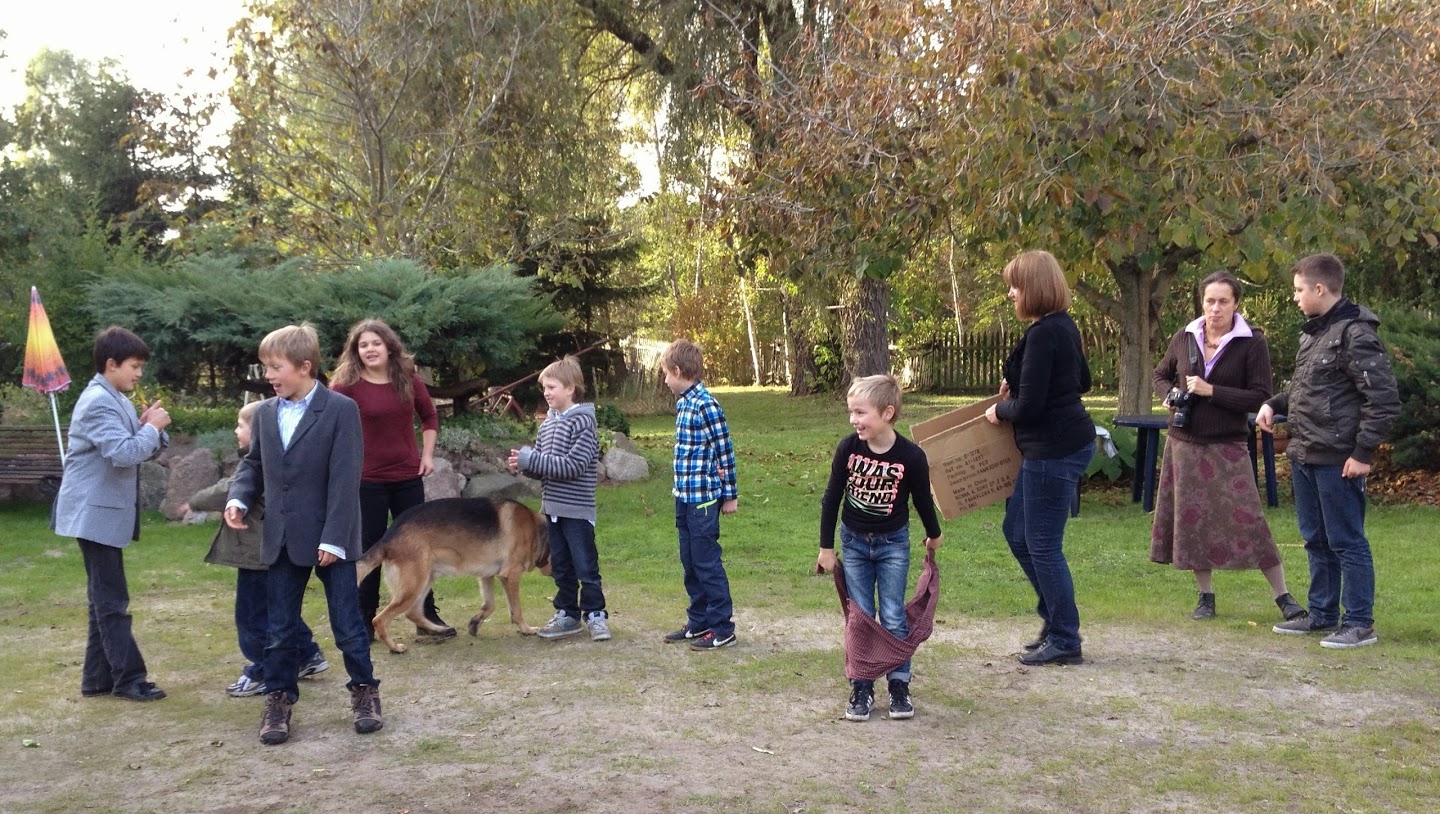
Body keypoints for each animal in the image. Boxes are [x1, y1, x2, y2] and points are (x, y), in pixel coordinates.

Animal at [355, 497, 552, 654]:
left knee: (413, 612)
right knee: (380, 620)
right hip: (413, 587)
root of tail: (387, 537)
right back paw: (395, 648)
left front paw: (475, 623)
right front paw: (526, 629)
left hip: (426, 580)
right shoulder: (510, 576)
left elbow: (490, 605)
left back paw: (440, 630)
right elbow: (516, 610)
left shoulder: (486, 576)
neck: (536, 529)